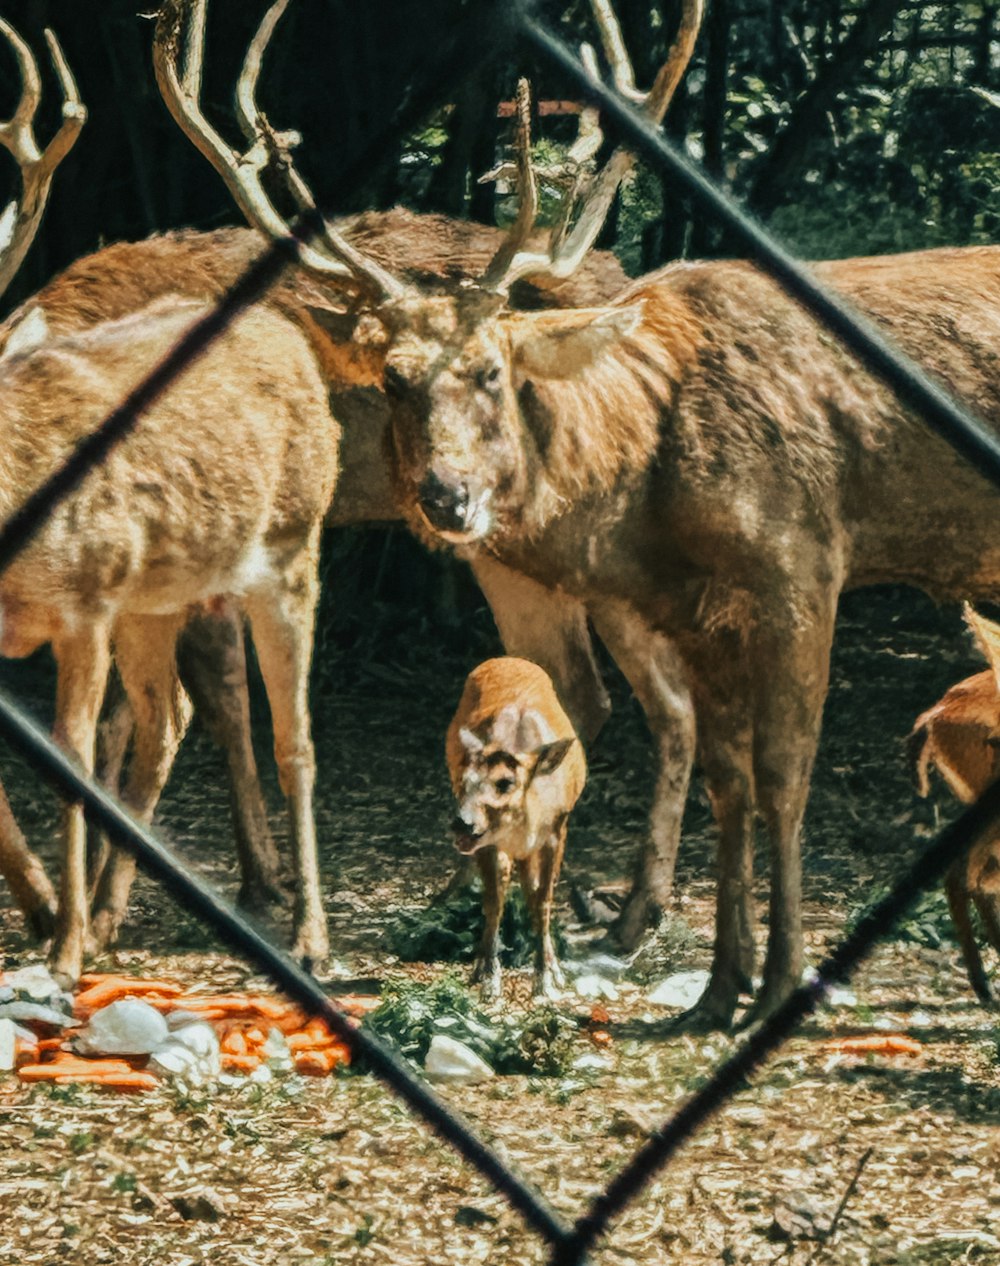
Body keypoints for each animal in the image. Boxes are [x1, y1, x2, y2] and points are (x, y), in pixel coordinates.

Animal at [448, 653, 587, 997]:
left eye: (505, 782)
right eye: (463, 781)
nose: (461, 823)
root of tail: (508, 658)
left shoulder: (557, 830)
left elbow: (543, 901)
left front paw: (544, 980)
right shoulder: (489, 842)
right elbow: (493, 901)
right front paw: (487, 976)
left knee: (532, 890)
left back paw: (553, 968)